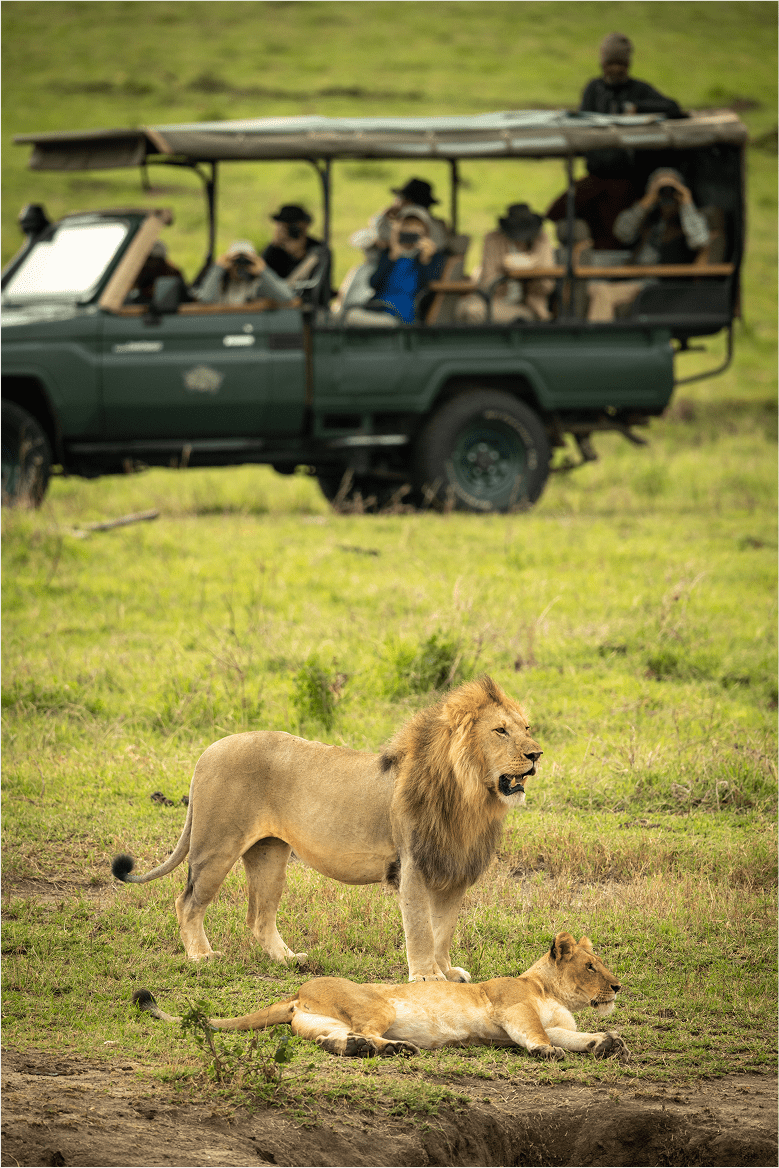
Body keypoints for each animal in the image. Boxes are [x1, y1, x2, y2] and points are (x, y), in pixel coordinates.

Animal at [112, 675, 542, 982]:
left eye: (526, 727)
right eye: (501, 731)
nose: (537, 754)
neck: (472, 796)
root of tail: (208, 749)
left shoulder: (455, 872)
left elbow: (443, 929)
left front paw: (446, 971)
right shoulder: (414, 866)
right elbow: (421, 928)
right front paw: (426, 977)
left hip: (269, 855)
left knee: (259, 918)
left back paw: (288, 960)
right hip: (216, 846)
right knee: (187, 902)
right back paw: (201, 956)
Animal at [133, 932, 628, 1061]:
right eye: (591, 966)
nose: (618, 986)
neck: (549, 990)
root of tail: (298, 990)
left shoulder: (555, 1022)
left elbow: (575, 1038)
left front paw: (608, 1043)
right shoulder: (512, 1007)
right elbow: (537, 1037)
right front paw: (548, 1053)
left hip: (319, 1021)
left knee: (333, 1041)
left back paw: (362, 1047)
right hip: (381, 1005)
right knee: (369, 1033)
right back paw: (397, 1048)